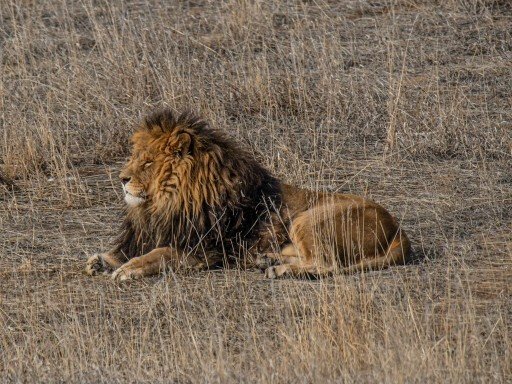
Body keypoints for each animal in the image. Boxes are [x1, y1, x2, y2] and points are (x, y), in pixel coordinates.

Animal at [85, 109, 412, 280]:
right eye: (135, 157)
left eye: (149, 163)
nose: (122, 179)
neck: (165, 203)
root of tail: (398, 229)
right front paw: (101, 260)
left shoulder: (203, 249)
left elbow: (158, 254)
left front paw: (128, 269)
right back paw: (266, 260)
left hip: (308, 218)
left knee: (326, 264)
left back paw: (277, 270)